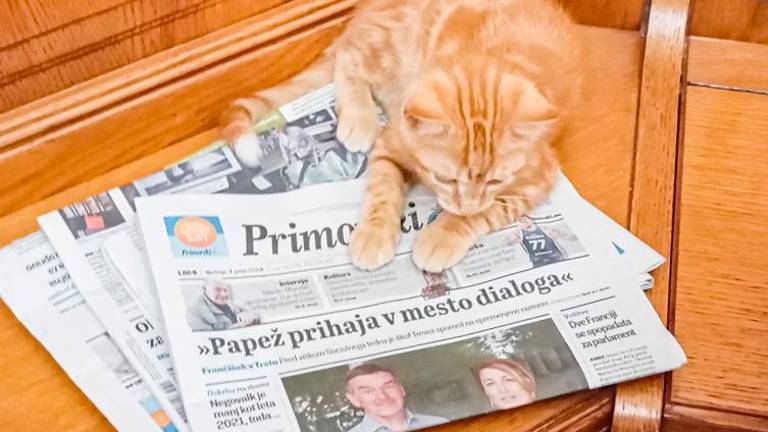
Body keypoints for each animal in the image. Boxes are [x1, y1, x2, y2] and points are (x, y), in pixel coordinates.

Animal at [221, 0, 583, 272]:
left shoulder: (535, 178)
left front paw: (444, 233)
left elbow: (488, 211)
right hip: (387, 46)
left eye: (495, 181)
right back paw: (359, 119)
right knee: (347, 59)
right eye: (446, 178)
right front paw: (374, 234)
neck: (490, 59)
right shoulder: (391, 143)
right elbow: (382, 189)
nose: (464, 206)